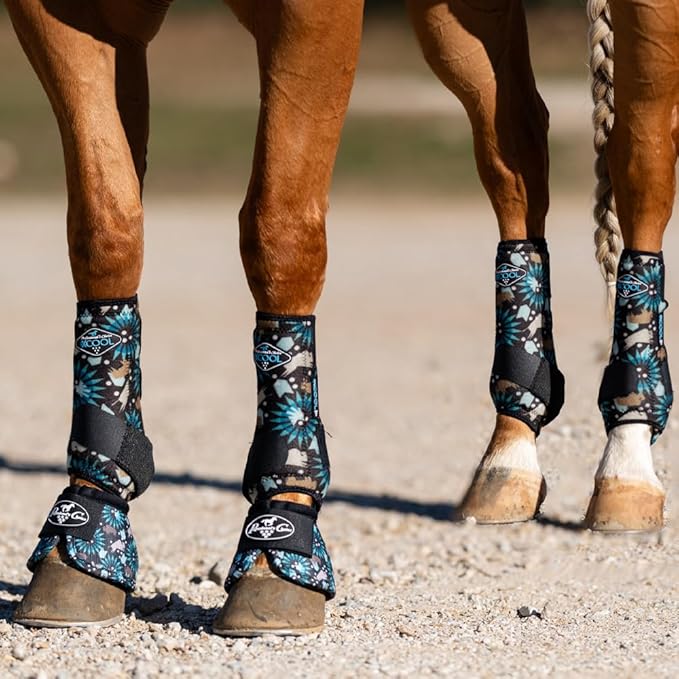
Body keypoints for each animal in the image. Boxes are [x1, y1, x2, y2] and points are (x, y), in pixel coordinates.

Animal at [4, 0, 673, 637]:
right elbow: (106, 224)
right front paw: (83, 533)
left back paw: (629, 458)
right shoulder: (72, 18)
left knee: (640, 150)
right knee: (515, 141)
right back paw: (510, 451)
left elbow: (278, 228)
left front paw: (279, 538)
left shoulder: (312, 14)